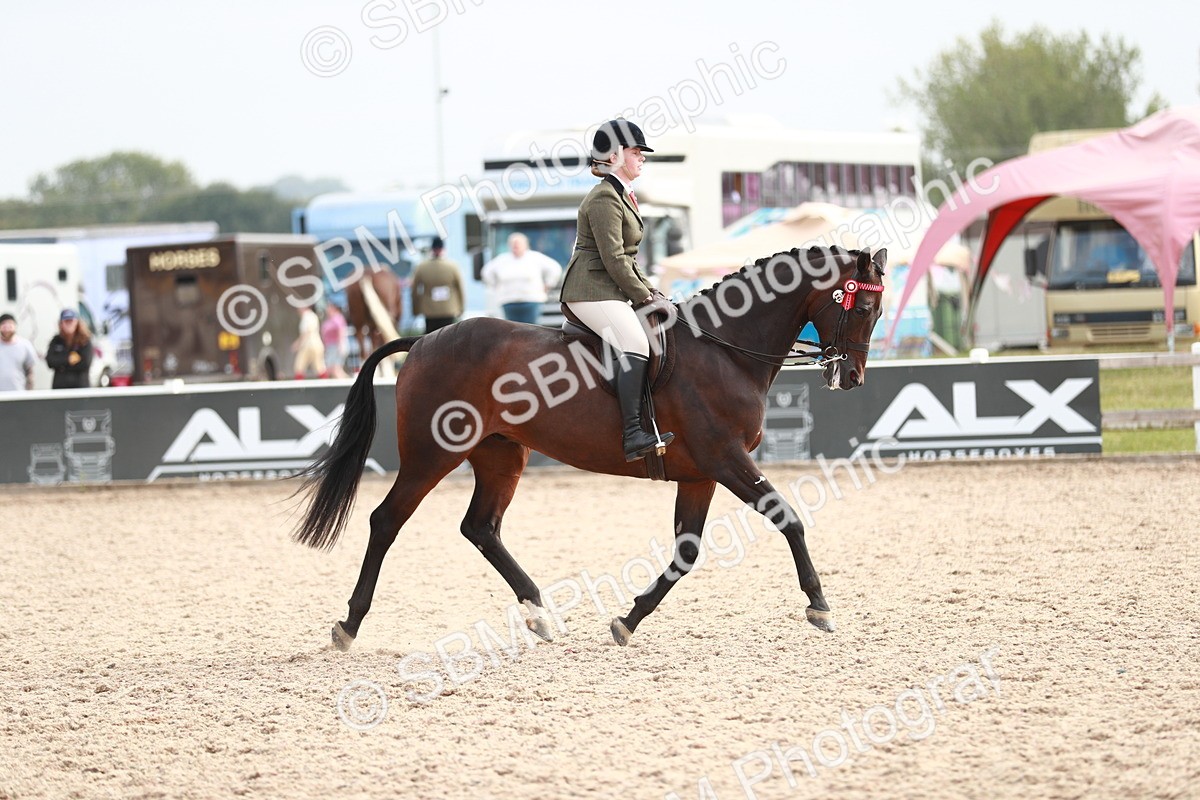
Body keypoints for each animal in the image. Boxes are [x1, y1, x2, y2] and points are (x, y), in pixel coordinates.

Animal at [293, 246, 887, 650]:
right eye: (861, 309)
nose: (853, 377)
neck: (725, 351)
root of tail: (422, 340)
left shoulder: (701, 474)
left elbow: (686, 552)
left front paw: (628, 620)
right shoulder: (726, 460)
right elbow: (789, 518)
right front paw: (820, 606)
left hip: (502, 455)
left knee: (481, 528)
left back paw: (539, 614)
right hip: (431, 456)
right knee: (386, 521)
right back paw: (349, 625)